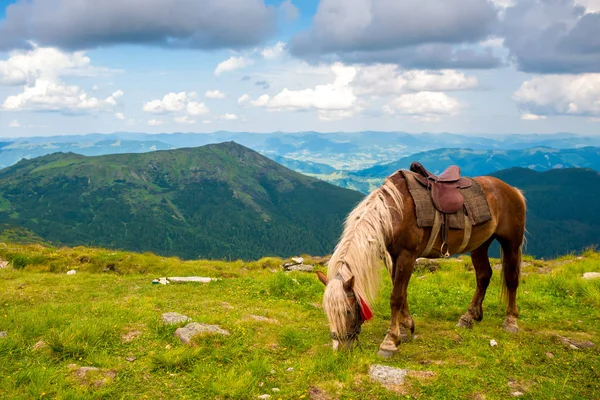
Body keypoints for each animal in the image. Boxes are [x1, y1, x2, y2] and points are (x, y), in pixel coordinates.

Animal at [314, 168, 524, 356]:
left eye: (348, 311)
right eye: (327, 312)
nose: (341, 348)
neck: (393, 214)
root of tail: (513, 190)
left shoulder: (407, 256)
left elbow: (396, 296)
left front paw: (390, 341)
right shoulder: (394, 257)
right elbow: (402, 293)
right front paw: (406, 326)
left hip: (511, 242)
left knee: (511, 279)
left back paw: (511, 321)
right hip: (480, 244)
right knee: (483, 276)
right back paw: (469, 317)